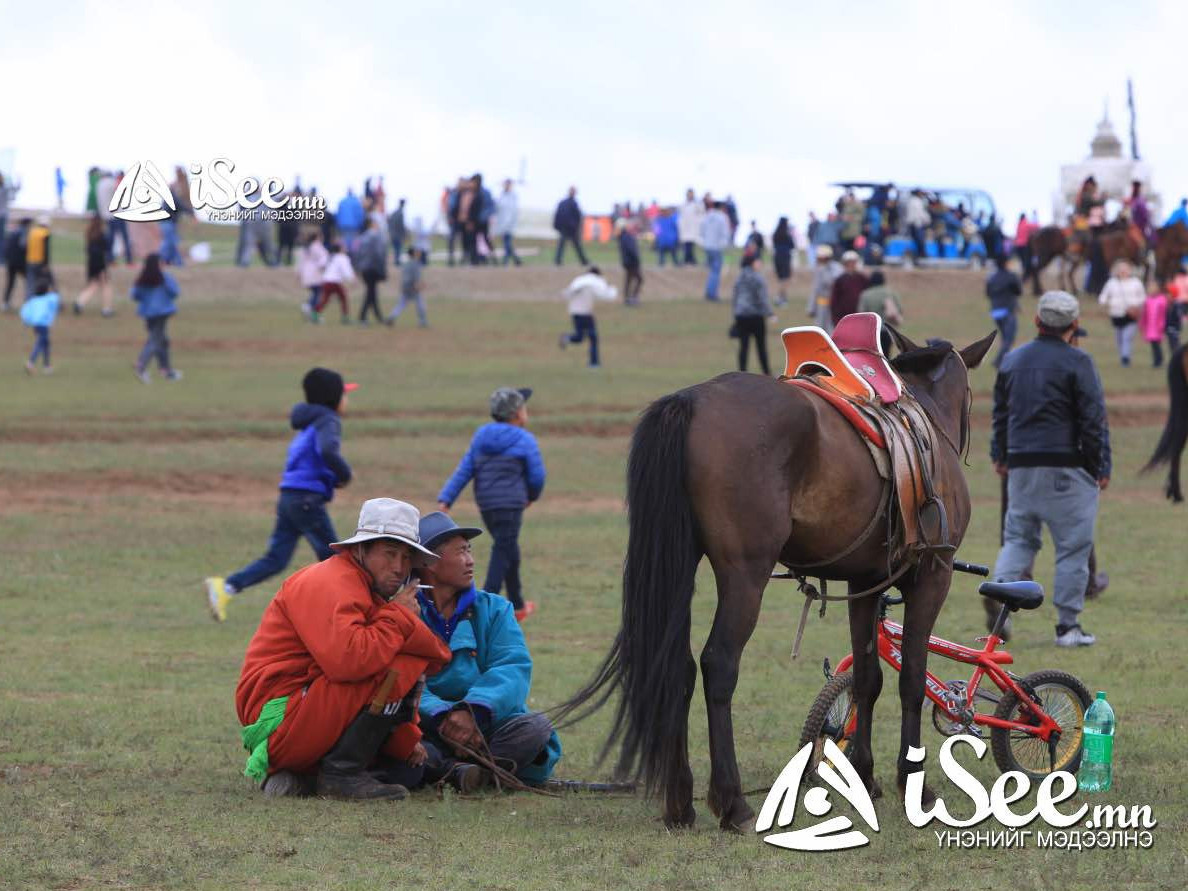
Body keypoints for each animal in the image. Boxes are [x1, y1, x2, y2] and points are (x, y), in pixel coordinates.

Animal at [553, 332, 993, 836]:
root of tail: (692, 401)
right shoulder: (933, 576)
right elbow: (912, 680)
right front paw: (913, 783)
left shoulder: (864, 584)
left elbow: (868, 678)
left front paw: (863, 775)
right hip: (746, 573)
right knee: (718, 664)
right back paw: (733, 804)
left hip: (683, 563)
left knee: (679, 667)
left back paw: (681, 804)